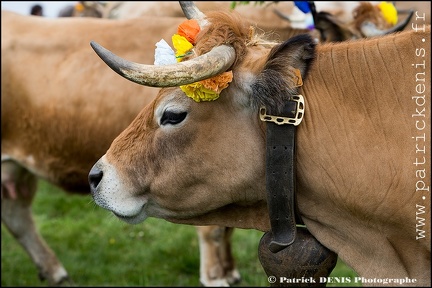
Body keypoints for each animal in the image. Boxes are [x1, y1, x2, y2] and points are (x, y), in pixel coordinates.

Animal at [0, 10, 240, 286]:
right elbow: (214, 229)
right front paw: (215, 277)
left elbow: (228, 226)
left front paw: (230, 271)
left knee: (16, 215)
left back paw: (55, 273)